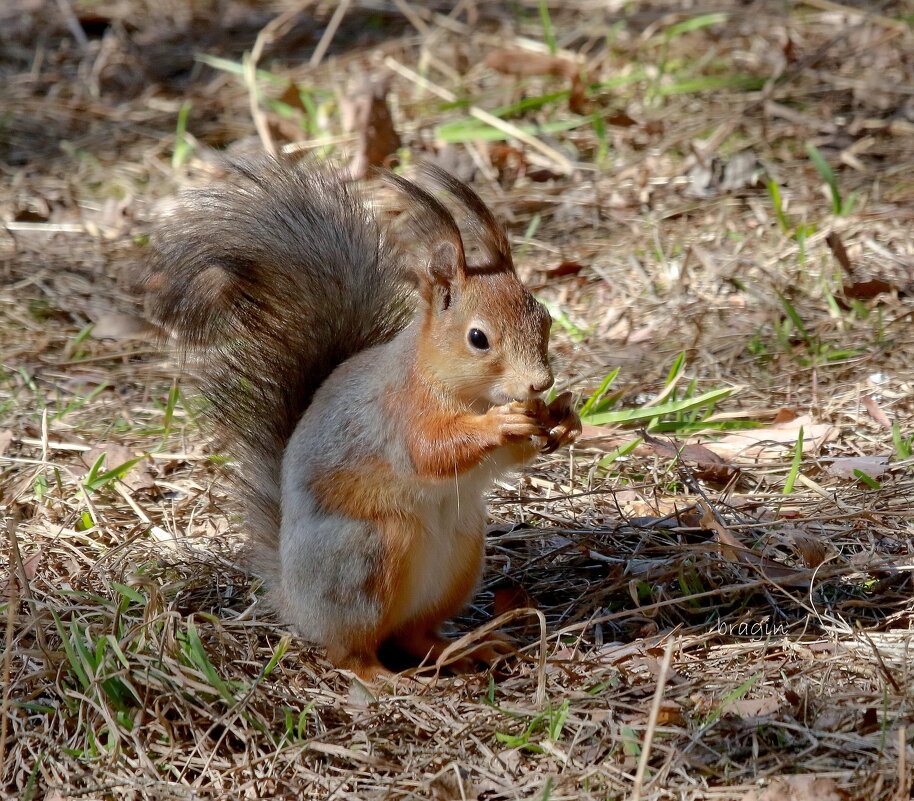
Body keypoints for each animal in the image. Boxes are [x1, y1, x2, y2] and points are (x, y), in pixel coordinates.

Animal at [146, 158, 580, 680]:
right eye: (478, 338)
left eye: (546, 319)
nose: (540, 383)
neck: (458, 387)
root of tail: (295, 603)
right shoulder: (400, 411)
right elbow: (430, 452)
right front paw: (500, 424)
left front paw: (563, 418)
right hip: (367, 556)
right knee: (349, 651)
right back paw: (385, 679)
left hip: (460, 555)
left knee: (414, 635)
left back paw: (466, 650)